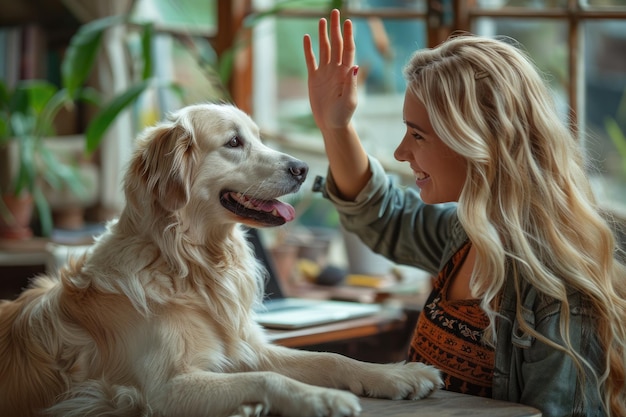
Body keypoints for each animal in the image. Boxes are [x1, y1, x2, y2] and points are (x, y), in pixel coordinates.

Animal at [0, 101, 438, 416]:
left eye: (258, 138)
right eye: (233, 143)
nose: (302, 168)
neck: (193, 265)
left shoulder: (246, 348)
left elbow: (332, 358)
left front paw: (396, 375)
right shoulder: (164, 389)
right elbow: (268, 379)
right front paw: (323, 400)